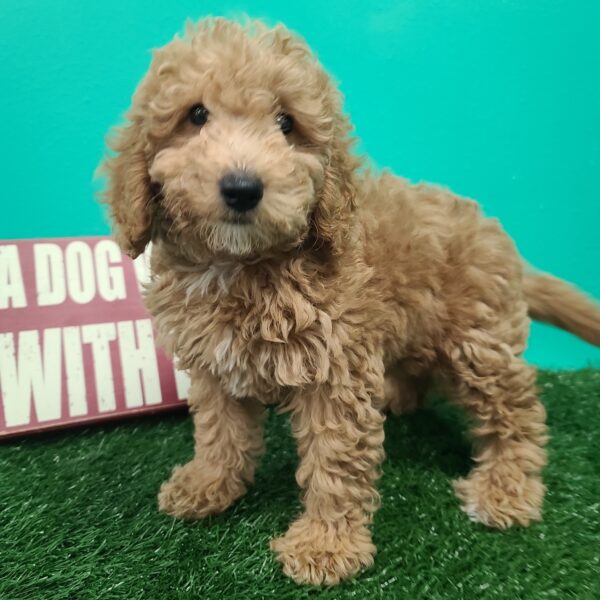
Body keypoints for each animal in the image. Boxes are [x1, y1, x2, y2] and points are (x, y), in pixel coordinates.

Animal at [99, 18, 600, 584]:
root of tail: (495, 232)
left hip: (479, 344)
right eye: (196, 116)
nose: (243, 188)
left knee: (517, 412)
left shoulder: (333, 370)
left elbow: (333, 459)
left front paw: (325, 544)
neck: (241, 265)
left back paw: (504, 488)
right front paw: (209, 484)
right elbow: (219, 431)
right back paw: (398, 395)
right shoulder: (215, 365)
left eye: (286, 124)